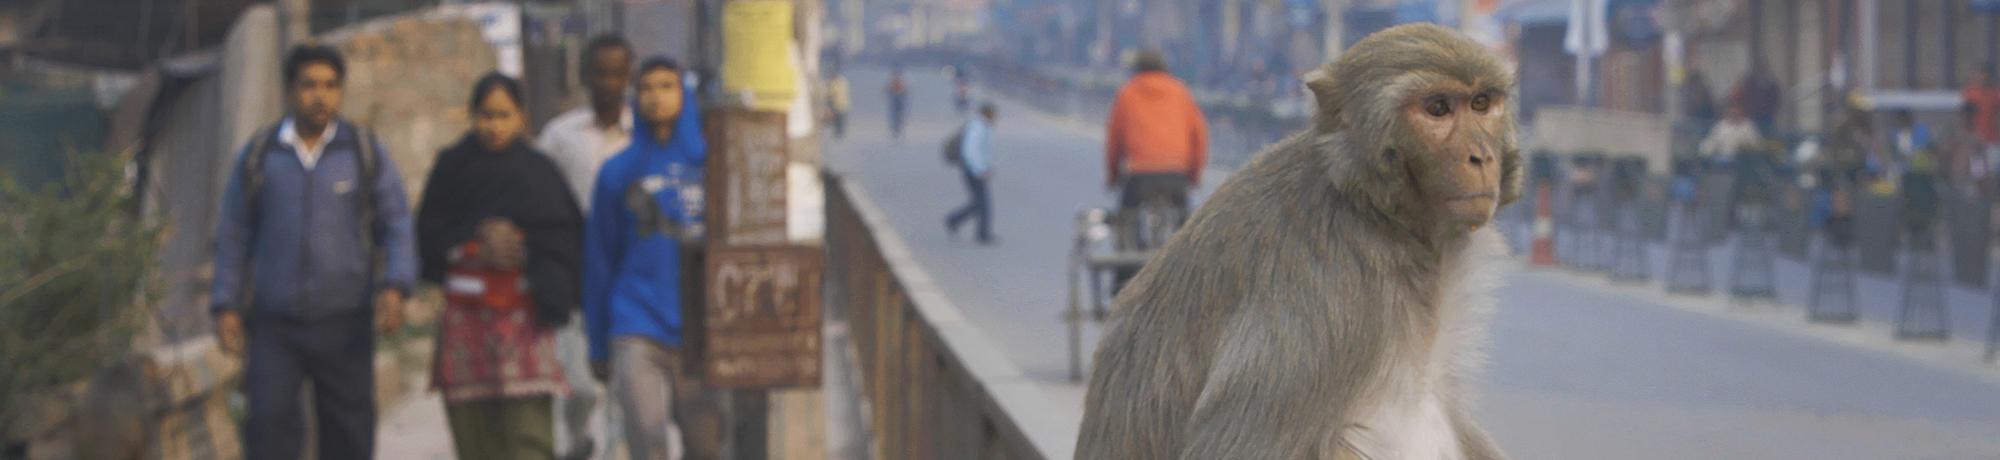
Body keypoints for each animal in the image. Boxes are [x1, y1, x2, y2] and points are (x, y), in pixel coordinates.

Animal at [1073, 23, 1519, 460]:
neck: (1370, 207)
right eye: (1437, 108)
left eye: (1481, 103)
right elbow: (1233, 450)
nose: (1481, 156)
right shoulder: (1331, 292)